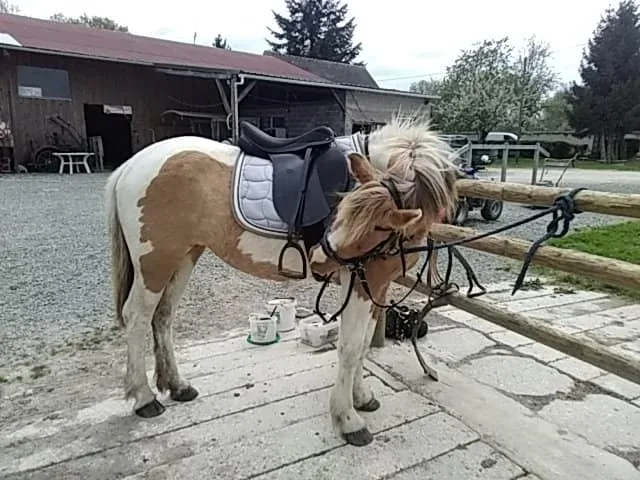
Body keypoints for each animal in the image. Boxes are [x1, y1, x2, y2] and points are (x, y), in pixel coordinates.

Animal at [105, 115, 460, 446]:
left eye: (377, 228)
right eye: (344, 213)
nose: (318, 260)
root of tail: (131, 166)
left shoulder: (378, 284)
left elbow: (361, 347)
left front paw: (362, 398)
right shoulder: (358, 282)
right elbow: (349, 347)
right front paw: (348, 419)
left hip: (184, 257)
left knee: (162, 317)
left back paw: (177, 386)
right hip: (154, 262)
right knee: (137, 317)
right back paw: (144, 398)